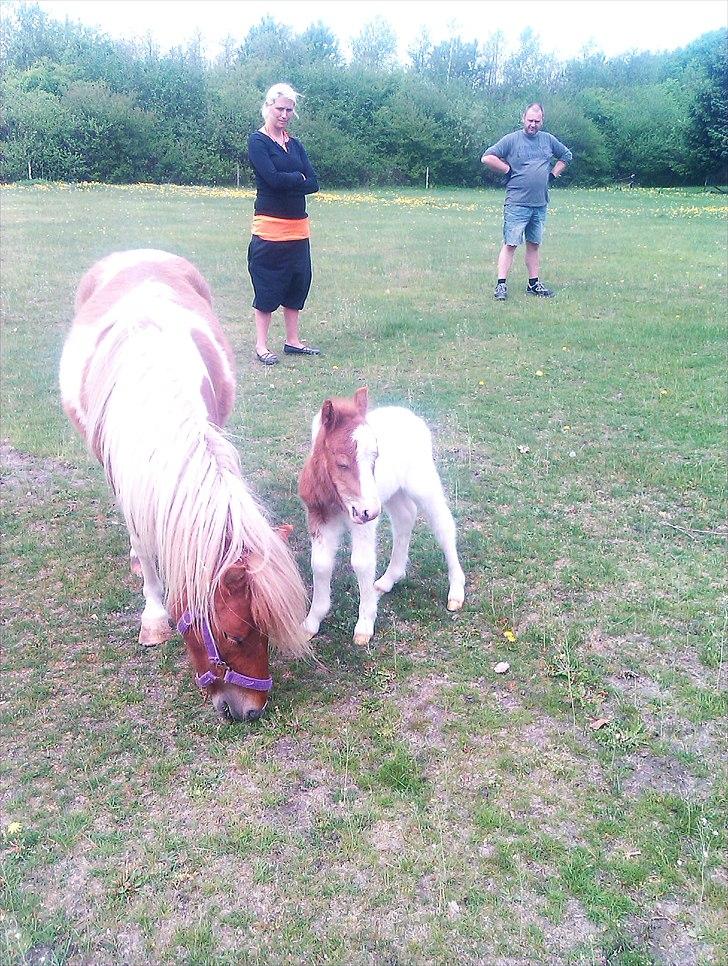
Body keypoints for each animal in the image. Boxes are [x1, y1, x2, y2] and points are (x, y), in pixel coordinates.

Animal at [57, 253, 308, 724]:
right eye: (234, 634)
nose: (250, 711)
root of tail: (137, 253)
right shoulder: (128, 482)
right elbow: (145, 542)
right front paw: (154, 618)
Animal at [298, 388, 464, 652]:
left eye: (375, 457)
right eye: (342, 463)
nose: (372, 512)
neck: (337, 499)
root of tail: (407, 413)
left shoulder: (363, 521)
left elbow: (361, 563)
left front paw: (365, 625)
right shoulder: (319, 517)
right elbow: (321, 564)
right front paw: (311, 622)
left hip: (422, 484)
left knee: (443, 527)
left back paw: (456, 591)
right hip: (393, 494)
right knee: (405, 517)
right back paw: (389, 579)